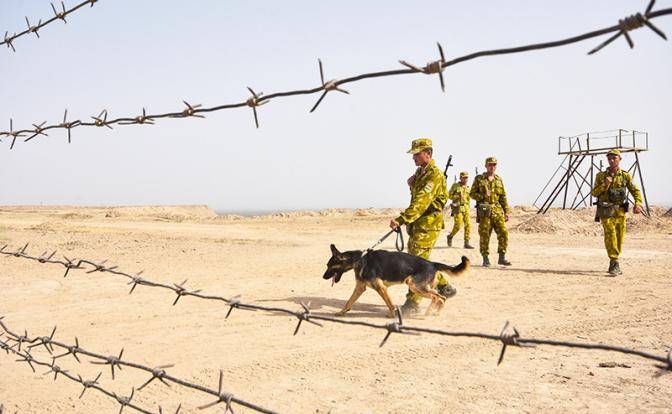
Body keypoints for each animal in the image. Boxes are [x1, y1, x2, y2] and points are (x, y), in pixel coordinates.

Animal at [322, 246, 470, 316]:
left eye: (329, 266)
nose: (323, 277)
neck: (359, 259)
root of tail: (432, 264)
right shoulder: (360, 288)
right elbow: (349, 302)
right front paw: (341, 312)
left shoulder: (381, 288)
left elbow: (390, 304)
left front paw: (393, 315)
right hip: (421, 287)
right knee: (441, 297)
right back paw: (436, 313)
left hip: (414, 285)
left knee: (436, 297)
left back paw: (427, 314)